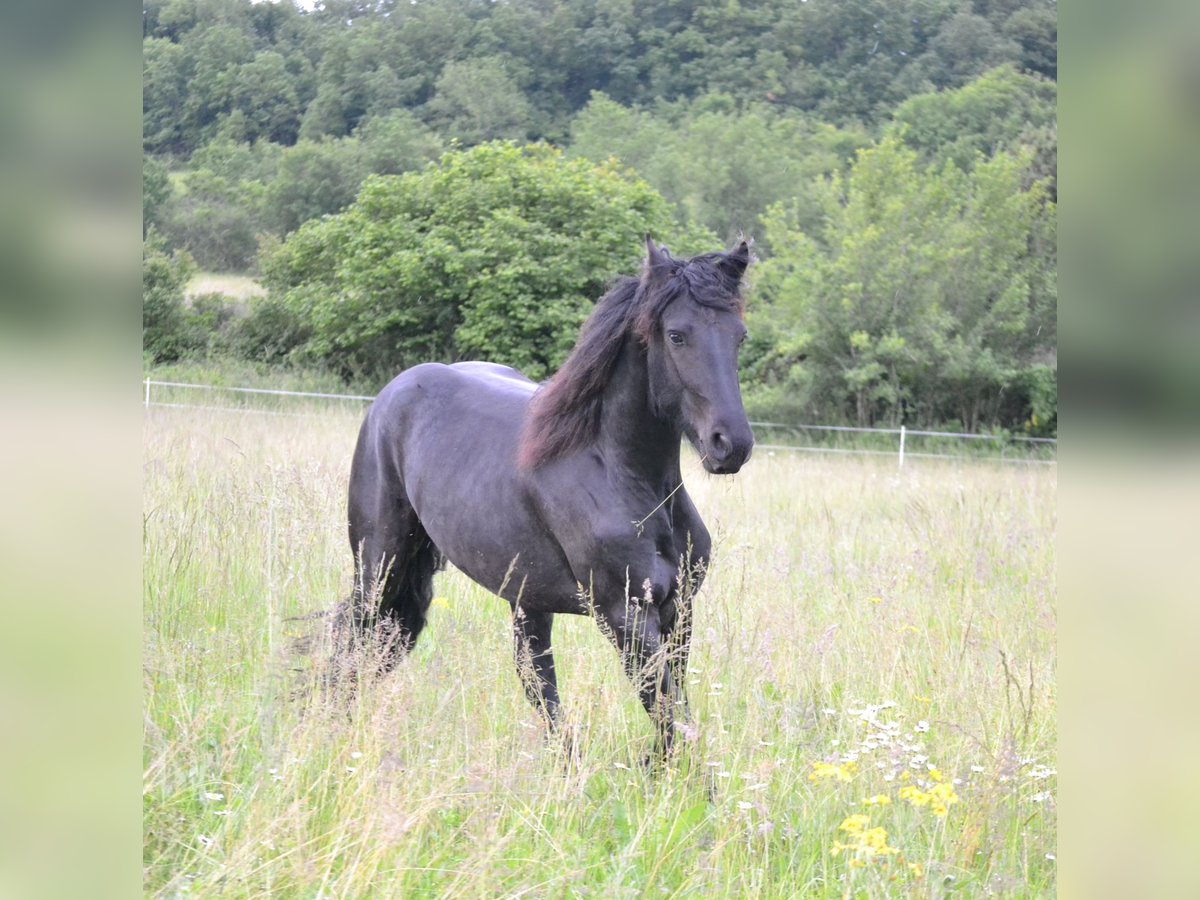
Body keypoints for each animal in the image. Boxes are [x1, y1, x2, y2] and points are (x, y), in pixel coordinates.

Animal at [340, 240, 748, 763]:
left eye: (739, 335)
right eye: (677, 335)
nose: (730, 445)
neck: (619, 474)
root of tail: (394, 391)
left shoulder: (680, 610)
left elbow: (675, 716)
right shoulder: (625, 616)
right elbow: (668, 715)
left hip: (524, 596)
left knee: (537, 682)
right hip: (378, 565)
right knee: (357, 642)